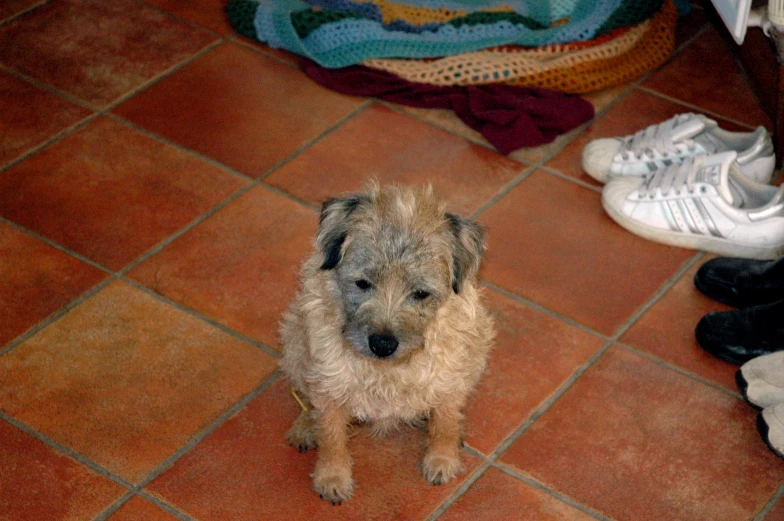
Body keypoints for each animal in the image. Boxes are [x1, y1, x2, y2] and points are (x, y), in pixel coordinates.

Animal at [278, 184, 494, 504]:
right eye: (362, 283)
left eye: (421, 293)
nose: (382, 344)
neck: (387, 370)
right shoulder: (330, 383)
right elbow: (331, 434)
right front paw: (332, 476)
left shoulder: (448, 376)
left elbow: (444, 421)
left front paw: (441, 459)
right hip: (295, 342)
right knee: (306, 397)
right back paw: (305, 427)